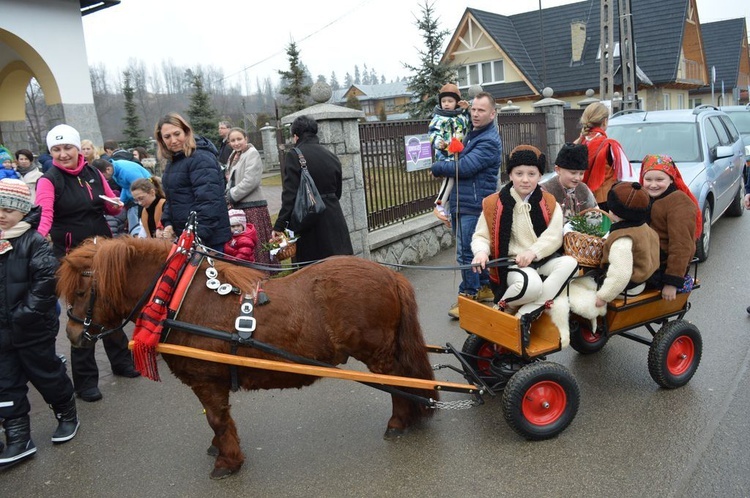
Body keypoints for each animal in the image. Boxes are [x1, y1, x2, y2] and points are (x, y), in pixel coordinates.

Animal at [58, 237, 438, 478]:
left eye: (82, 291)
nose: (73, 335)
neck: (178, 296)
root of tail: (389, 273)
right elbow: (218, 421)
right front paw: (219, 449)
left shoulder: (206, 380)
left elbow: (217, 419)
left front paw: (227, 462)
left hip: (378, 354)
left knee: (397, 382)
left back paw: (399, 422)